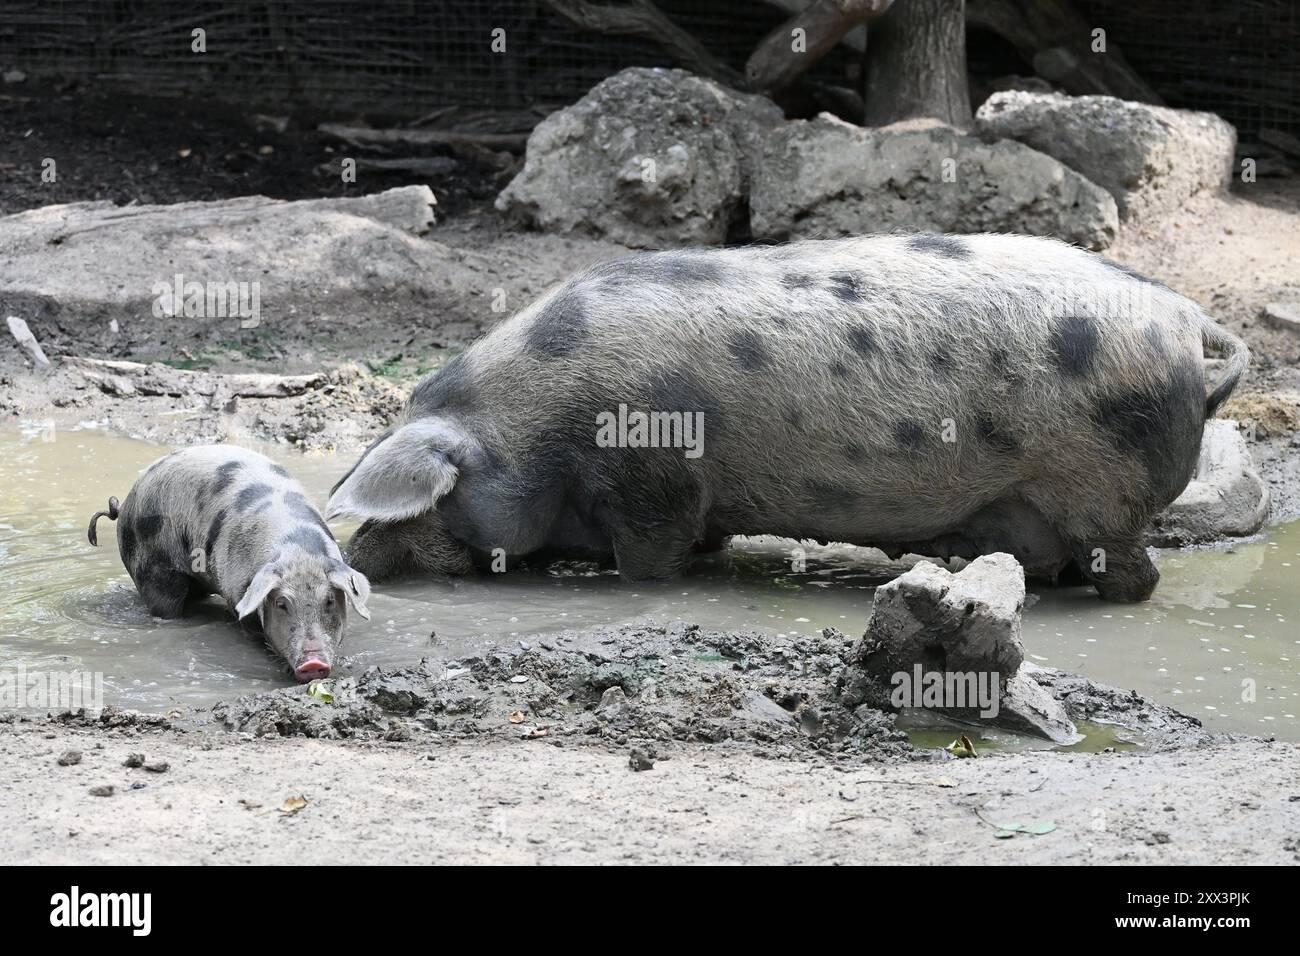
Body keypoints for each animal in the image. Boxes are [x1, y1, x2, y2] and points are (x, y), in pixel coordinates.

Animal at [88, 447, 369, 681]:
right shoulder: (237, 592)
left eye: (330, 601)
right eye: (282, 604)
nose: (313, 664)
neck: (297, 552)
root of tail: (125, 503)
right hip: (153, 570)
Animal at [327, 234, 1248, 600]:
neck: (536, 426)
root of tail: (1183, 316)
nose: (358, 556)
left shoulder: (654, 481)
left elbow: (649, 560)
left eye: (430, 498)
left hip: (1107, 490)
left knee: (1136, 575)